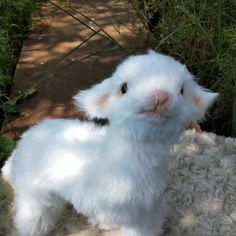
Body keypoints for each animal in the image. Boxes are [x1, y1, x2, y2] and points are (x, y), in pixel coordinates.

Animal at [0, 50, 218, 236]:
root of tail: (29, 135)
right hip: (34, 191)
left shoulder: (144, 214)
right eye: (124, 88)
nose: (160, 96)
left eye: (181, 90)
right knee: (32, 216)